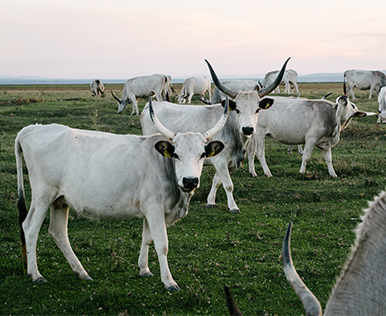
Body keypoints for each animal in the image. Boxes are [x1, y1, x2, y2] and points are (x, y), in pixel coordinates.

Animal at [16, 98, 228, 292]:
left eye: (202, 154)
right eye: (176, 154)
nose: (190, 180)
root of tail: (32, 129)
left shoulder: (149, 210)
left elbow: (147, 238)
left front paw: (144, 269)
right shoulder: (155, 209)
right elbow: (162, 244)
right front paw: (169, 281)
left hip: (60, 200)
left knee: (58, 232)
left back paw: (81, 272)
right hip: (43, 196)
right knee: (31, 228)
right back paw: (36, 274)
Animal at [247, 94, 376, 178]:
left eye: (353, 106)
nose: (344, 97)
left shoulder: (326, 143)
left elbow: (329, 159)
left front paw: (333, 174)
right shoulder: (311, 138)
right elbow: (306, 156)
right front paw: (302, 172)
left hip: (254, 135)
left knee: (251, 151)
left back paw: (253, 172)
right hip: (260, 132)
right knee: (259, 152)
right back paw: (268, 173)